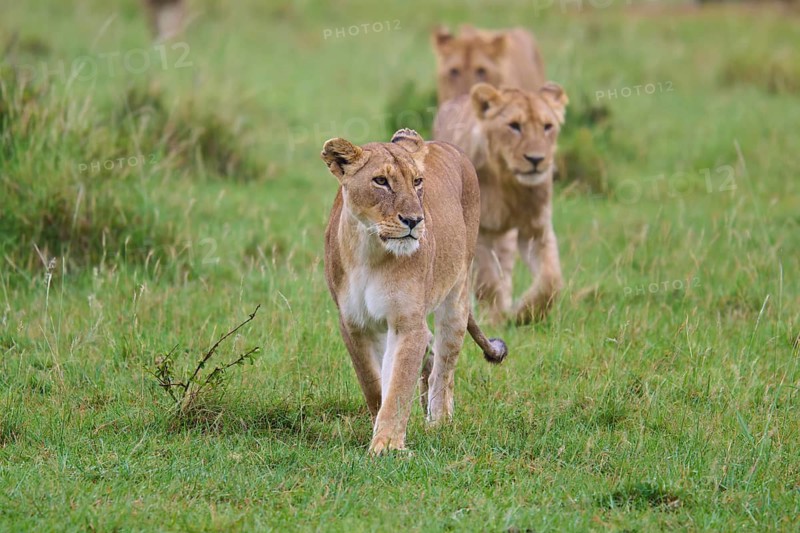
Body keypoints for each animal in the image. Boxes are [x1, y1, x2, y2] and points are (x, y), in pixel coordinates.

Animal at [321, 128, 508, 455]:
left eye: (417, 181)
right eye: (381, 181)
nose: (414, 220)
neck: (369, 249)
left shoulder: (407, 324)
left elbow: (398, 385)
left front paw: (387, 446)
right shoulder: (354, 325)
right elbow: (373, 383)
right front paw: (382, 431)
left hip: (457, 298)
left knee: (443, 369)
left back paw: (439, 421)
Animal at [433, 83, 568, 324]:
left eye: (547, 127)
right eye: (514, 126)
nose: (536, 159)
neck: (508, 181)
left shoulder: (536, 229)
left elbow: (551, 280)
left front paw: (524, 313)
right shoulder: (479, 232)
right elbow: (486, 280)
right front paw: (495, 320)